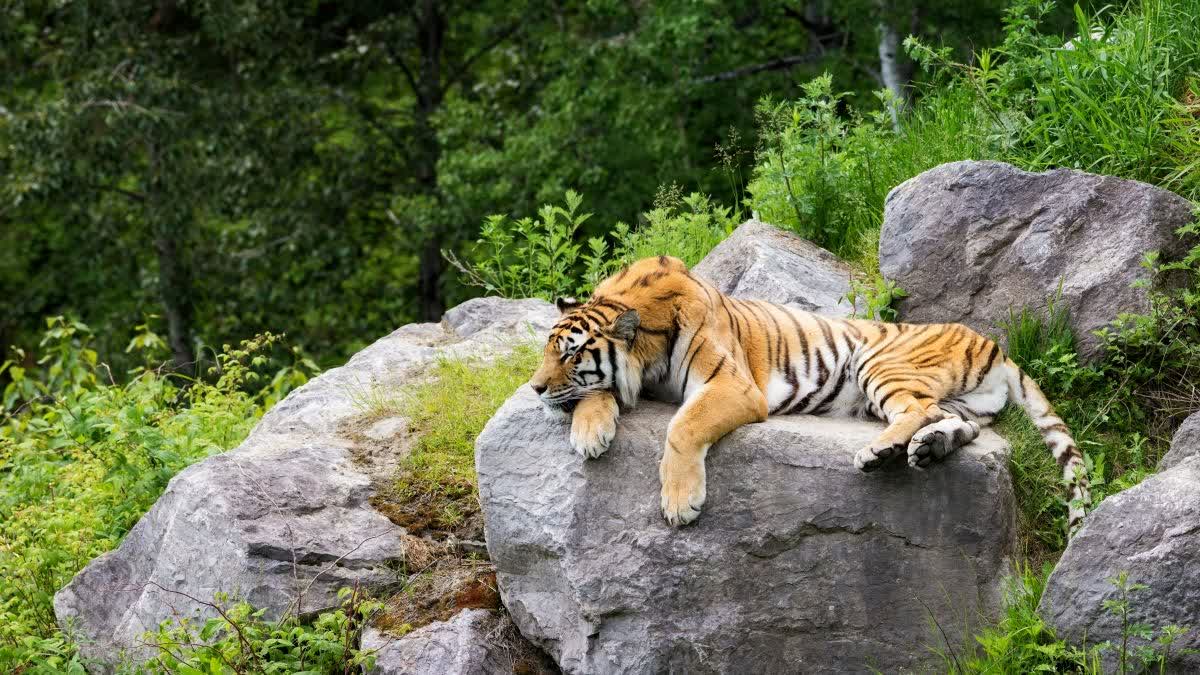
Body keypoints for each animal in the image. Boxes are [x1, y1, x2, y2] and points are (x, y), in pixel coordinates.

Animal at [528, 255, 1090, 531]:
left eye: (571, 355)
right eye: (548, 351)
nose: (533, 387)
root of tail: (995, 344)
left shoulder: (733, 385)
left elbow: (682, 427)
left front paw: (680, 503)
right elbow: (598, 394)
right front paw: (590, 433)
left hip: (878, 362)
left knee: (916, 409)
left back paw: (879, 450)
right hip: (960, 404)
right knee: (954, 422)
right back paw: (927, 449)